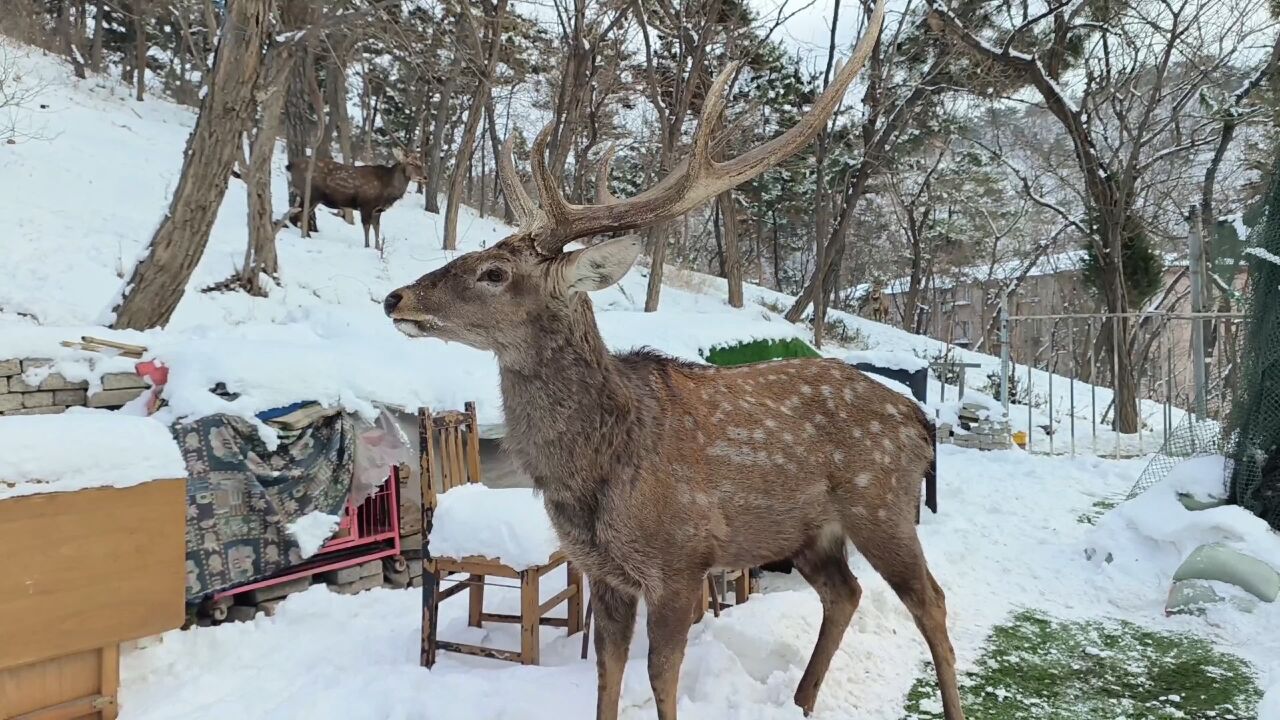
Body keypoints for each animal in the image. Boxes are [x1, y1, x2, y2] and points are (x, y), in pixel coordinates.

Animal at [286, 147, 422, 251]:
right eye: (411, 163)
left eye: (422, 164)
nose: (424, 177)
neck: (386, 189)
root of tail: (289, 165)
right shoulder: (366, 204)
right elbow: (366, 226)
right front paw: (367, 246)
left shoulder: (377, 210)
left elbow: (377, 227)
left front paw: (378, 248)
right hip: (310, 194)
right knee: (301, 213)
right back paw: (306, 235)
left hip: (313, 198)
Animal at [384, 0, 962, 712]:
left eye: (494, 272)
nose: (397, 297)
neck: (598, 470)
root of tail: (917, 418)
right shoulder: (602, 571)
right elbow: (606, 673)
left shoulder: (681, 561)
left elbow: (662, 675)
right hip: (808, 532)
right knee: (845, 593)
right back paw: (800, 699)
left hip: (881, 505)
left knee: (930, 599)